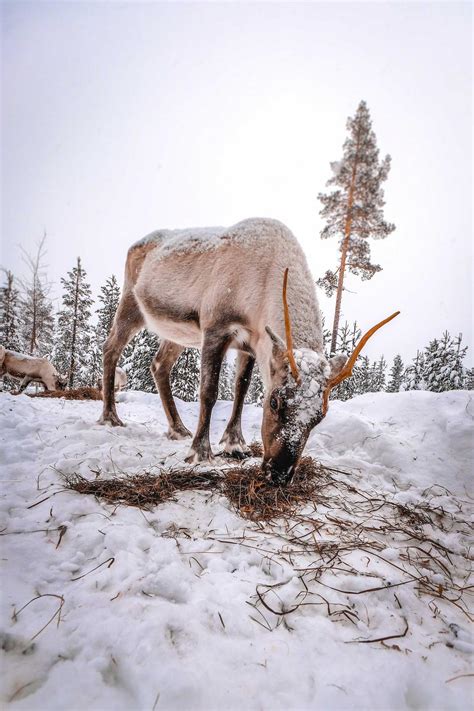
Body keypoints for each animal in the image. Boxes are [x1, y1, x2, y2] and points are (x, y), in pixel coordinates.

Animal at [100, 218, 399, 486]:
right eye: (275, 402)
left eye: (320, 415)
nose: (279, 474)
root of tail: (137, 243)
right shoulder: (216, 328)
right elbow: (209, 392)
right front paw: (201, 453)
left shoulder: (251, 345)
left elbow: (241, 390)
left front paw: (235, 444)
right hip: (131, 304)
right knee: (110, 348)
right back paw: (111, 417)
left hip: (177, 333)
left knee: (159, 364)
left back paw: (178, 428)